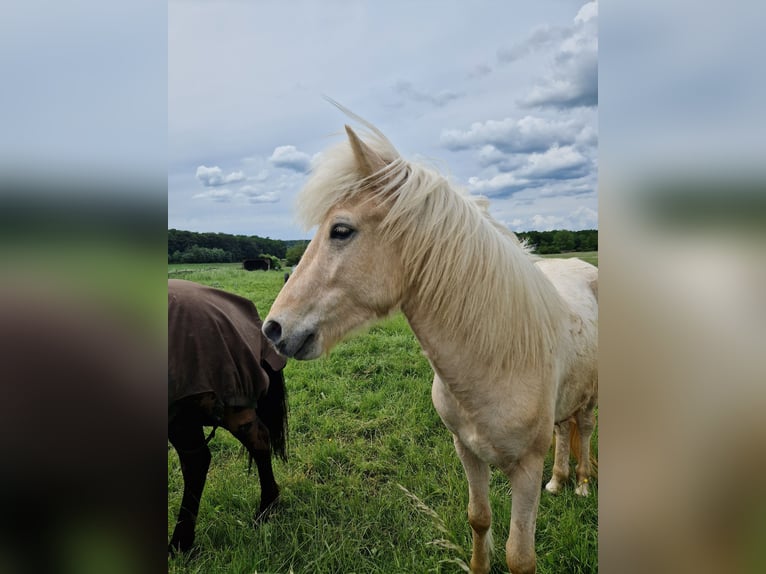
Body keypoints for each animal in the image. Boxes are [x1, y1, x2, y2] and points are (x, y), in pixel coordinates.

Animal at [264, 113, 600, 574]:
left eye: (341, 230)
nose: (273, 328)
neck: (498, 360)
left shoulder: (526, 469)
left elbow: (520, 557)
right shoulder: (467, 451)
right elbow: (479, 519)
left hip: (592, 397)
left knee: (584, 428)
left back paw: (581, 484)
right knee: (565, 429)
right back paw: (559, 481)